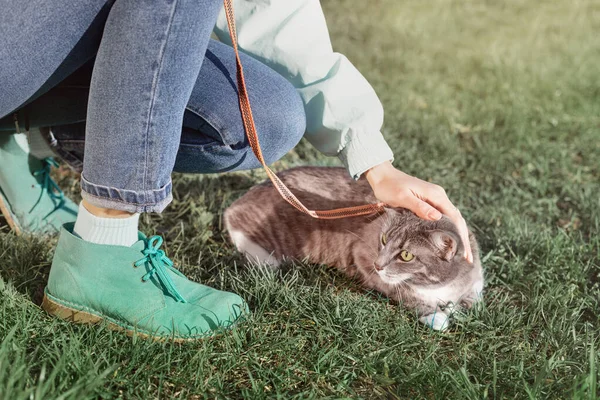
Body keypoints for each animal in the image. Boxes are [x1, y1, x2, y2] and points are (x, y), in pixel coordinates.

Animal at [224, 164, 482, 330]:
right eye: (384, 239)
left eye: (406, 255)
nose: (379, 264)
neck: (441, 287)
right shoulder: (362, 255)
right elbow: (404, 293)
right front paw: (436, 315)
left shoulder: (475, 275)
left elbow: (474, 296)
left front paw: (460, 306)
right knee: (234, 219)